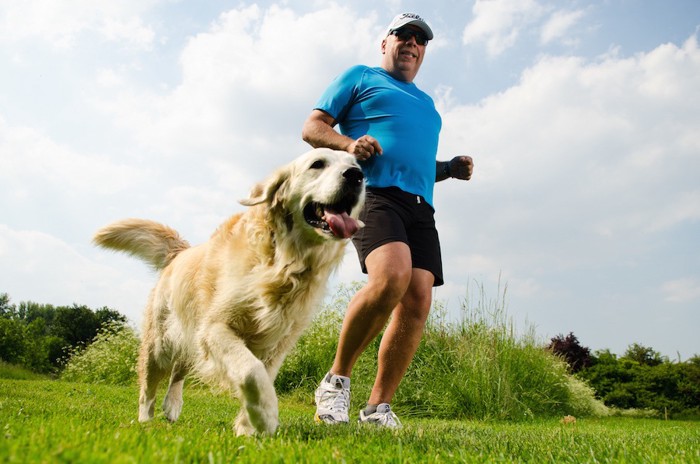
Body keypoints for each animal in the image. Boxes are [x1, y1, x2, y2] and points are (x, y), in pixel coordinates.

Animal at [93, 149, 366, 436]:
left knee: (179, 370)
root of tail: (180, 253)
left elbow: (264, 375)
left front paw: (248, 428)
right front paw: (265, 415)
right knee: (149, 384)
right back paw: (146, 419)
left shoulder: (278, 343)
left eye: (354, 165)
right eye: (317, 164)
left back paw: (172, 406)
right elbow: (251, 371)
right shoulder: (215, 327)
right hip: (161, 342)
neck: (283, 262)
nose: (356, 176)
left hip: (190, 335)